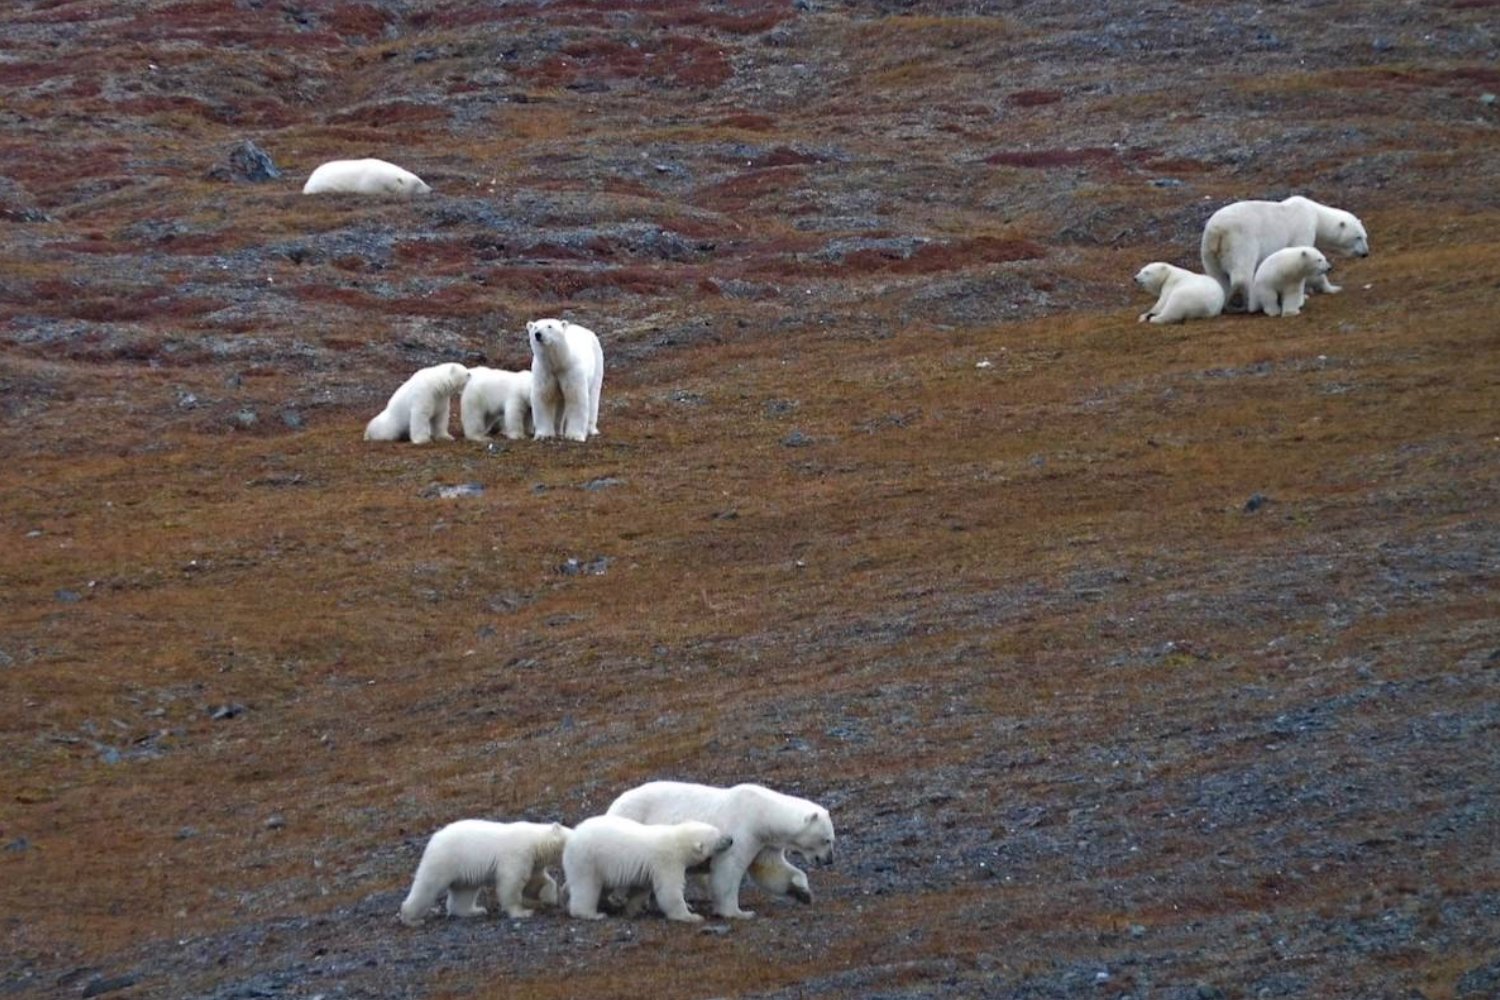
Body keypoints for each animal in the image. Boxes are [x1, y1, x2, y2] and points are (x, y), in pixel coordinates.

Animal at [399, 819, 569, 926]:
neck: (535, 841)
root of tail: (435, 837)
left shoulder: (532, 861)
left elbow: (536, 879)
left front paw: (549, 896)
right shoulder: (517, 854)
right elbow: (511, 882)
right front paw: (522, 912)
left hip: (463, 870)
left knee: (464, 891)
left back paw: (474, 911)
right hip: (445, 859)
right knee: (427, 886)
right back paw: (411, 919)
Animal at [561, 815, 733, 923]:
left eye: (718, 829)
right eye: (718, 836)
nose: (731, 839)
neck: (676, 839)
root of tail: (571, 836)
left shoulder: (647, 869)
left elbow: (642, 888)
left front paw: (632, 909)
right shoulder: (668, 861)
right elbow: (669, 890)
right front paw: (691, 916)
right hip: (587, 859)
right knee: (586, 886)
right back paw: (593, 914)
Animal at [606, 781, 835, 919]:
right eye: (826, 840)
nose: (828, 860)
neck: (762, 813)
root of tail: (615, 803)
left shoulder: (765, 842)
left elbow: (770, 869)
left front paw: (803, 892)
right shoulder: (742, 829)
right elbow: (728, 869)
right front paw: (739, 913)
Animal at [1200, 195, 1368, 311]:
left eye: (1365, 236)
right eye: (1358, 237)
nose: (1365, 253)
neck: (1315, 213)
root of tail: (1217, 231)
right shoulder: (1303, 229)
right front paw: (1330, 288)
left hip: (1208, 249)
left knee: (1217, 276)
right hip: (1240, 241)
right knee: (1242, 272)